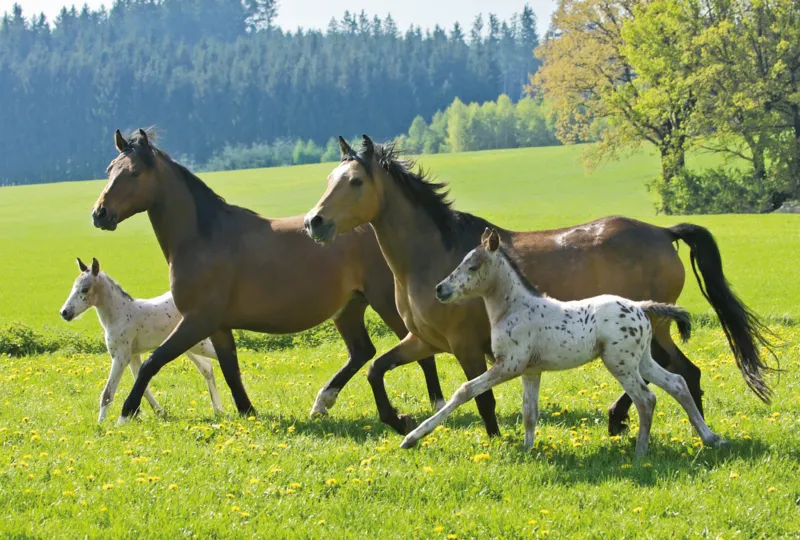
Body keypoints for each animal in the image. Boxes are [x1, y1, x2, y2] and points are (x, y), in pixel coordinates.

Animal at [59, 257, 223, 421]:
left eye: (85, 289)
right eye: (74, 287)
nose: (64, 312)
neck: (120, 314)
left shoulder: (121, 356)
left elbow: (107, 394)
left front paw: (101, 423)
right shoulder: (133, 355)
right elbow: (143, 385)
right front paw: (158, 411)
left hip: (199, 344)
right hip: (189, 346)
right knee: (207, 368)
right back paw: (218, 410)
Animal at [90, 129, 444, 422]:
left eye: (134, 173)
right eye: (110, 169)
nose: (100, 214)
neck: (203, 238)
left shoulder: (197, 320)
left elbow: (153, 362)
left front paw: (126, 414)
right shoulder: (218, 326)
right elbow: (231, 371)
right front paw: (248, 413)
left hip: (384, 302)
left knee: (418, 349)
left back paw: (438, 406)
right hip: (349, 308)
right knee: (361, 352)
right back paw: (322, 403)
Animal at [401, 228, 725, 457]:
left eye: (473, 266)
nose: (441, 289)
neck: (515, 308)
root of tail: (641, 307)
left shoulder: (509, 365)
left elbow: (464, 391)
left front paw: (411, 437)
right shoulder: (531, 371)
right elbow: (529, 413)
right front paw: (528, 451)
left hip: (620, 363)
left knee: (646, 398)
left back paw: (640, 452)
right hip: (642, 360)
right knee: (677, 384)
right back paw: (710, 437)